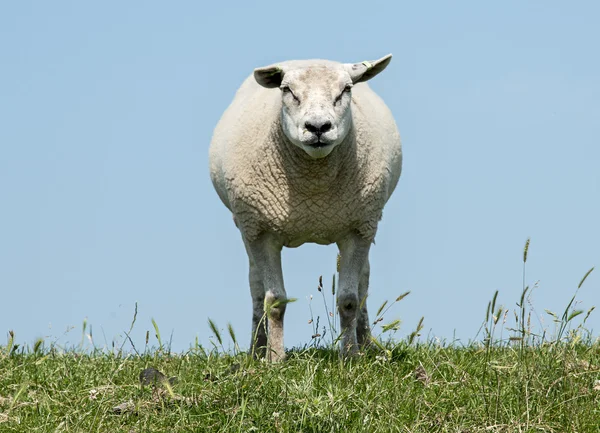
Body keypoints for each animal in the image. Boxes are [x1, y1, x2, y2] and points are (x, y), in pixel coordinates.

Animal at [209, 54, 400, 360]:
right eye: (287, 90)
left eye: (346, 89)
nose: (318, 127)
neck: (313, 193)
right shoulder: (261, 231)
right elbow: (274, 300)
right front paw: (275, 359)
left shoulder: (358, 229)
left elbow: (349, 299)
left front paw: (350, 356)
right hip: (246, 226)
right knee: (255, 287)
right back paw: (256, 348)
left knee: (364, 282)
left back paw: (367, 343)